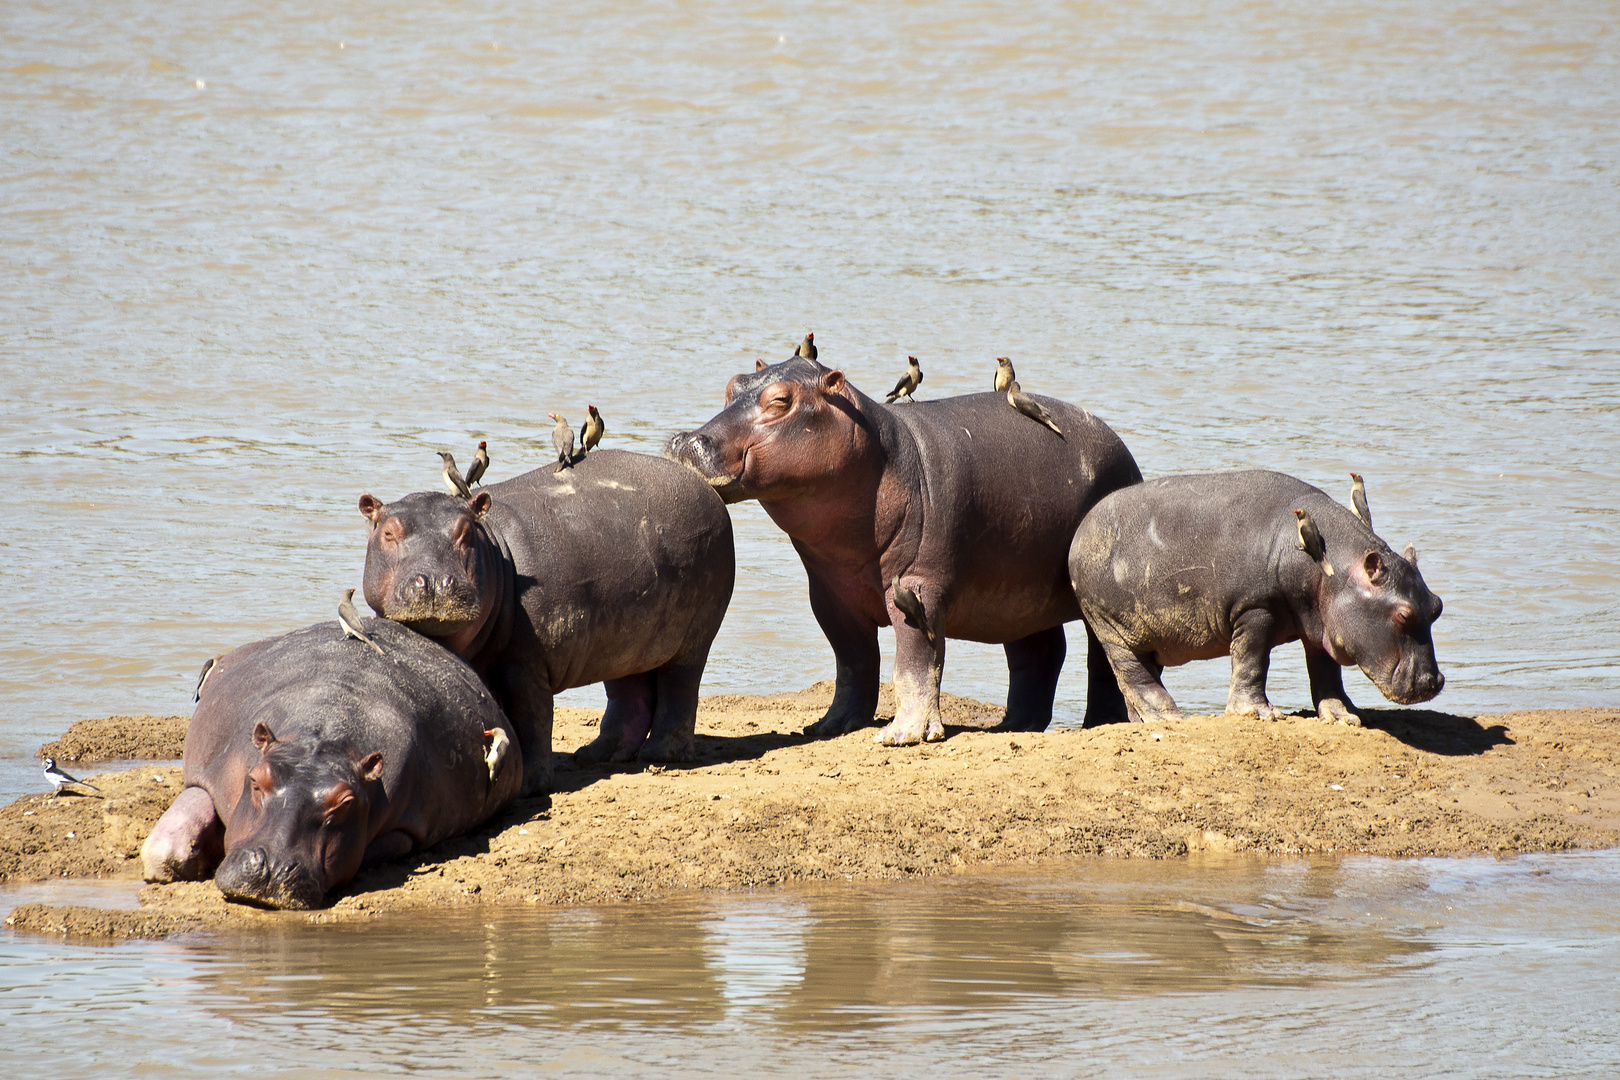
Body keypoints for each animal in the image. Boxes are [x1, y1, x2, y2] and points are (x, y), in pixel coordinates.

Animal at [144, 615, 515, 913]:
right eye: (255, 780)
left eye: (346, 802)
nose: (272, 868)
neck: (322, 739)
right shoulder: (213, 772)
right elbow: (164, 847)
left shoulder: (404, 826)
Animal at [359, 443, 735, 790]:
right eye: (388, 532)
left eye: (466, 533)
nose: (436, 582)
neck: (493, 547)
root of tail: (705, 488)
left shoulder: (525, 664)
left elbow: (531, 717)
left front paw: (530, 784)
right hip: (624, 636)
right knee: (629, 692)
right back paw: (597, 754)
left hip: (695, 636)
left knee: (680, 685)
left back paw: (661, 753)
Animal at [664, 354, 1146, 744]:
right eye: (733, 384)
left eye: (781, 400)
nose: (685, 440)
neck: (875, 449)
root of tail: (1123, 448)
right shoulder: (829, 596)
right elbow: (853, 663)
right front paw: (829, 726)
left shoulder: (920, 586)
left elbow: (914, 660)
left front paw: (902, 736)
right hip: (1019, 591)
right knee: (1040, 652)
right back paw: (1012, 726)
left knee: (1101, 658)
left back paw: (1101, 725)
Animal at [1069, 469, 1451, 725]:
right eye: (1403, 614)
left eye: (1437, 606)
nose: (1432, 682)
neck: (1330, 561)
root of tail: (1081, 533)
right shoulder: (1254, 609)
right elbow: (1252, 660)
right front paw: (1260, 714)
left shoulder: (1322, 623)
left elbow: (1326, 671)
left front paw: (1345, 715)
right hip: (1112, 631)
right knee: (1135, 675)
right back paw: (1171, 719)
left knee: (1135, 680)